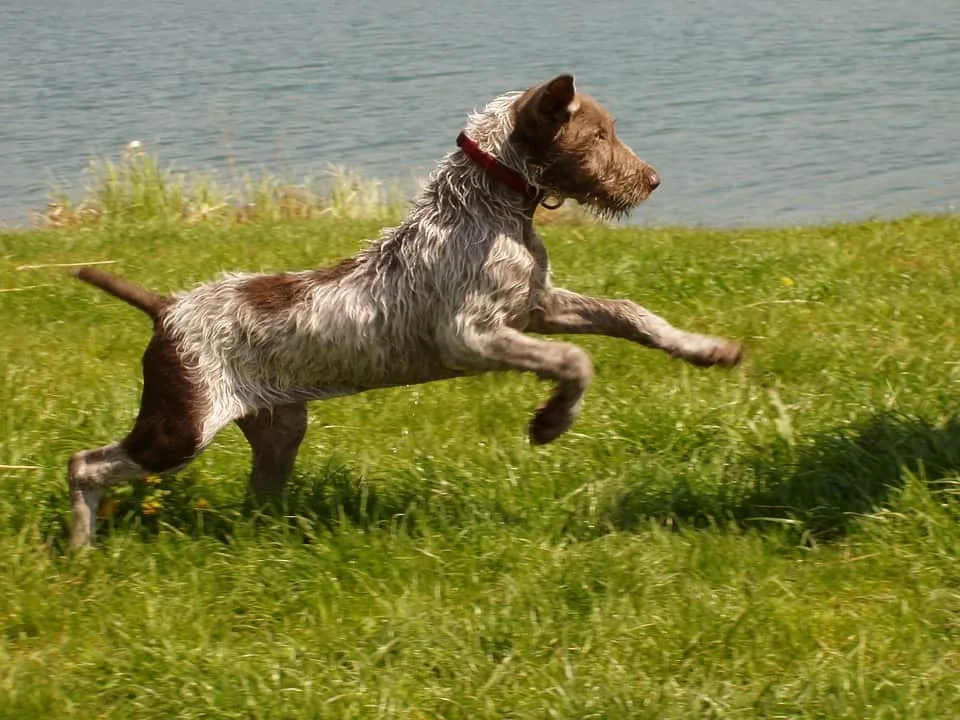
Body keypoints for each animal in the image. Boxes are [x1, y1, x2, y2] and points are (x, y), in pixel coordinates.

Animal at [69, 71, 744, 544]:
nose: (652, 180)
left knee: (254, 494)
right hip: (179, 427)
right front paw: (552, 422)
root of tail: (167, 307)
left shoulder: (536, 306)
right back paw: (80, 548)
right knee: (84, 464)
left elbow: (629, 313)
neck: (490, 208)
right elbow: (575, 360)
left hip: (279, 427)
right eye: (599, 136)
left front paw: (706, 349)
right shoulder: (469, 335)